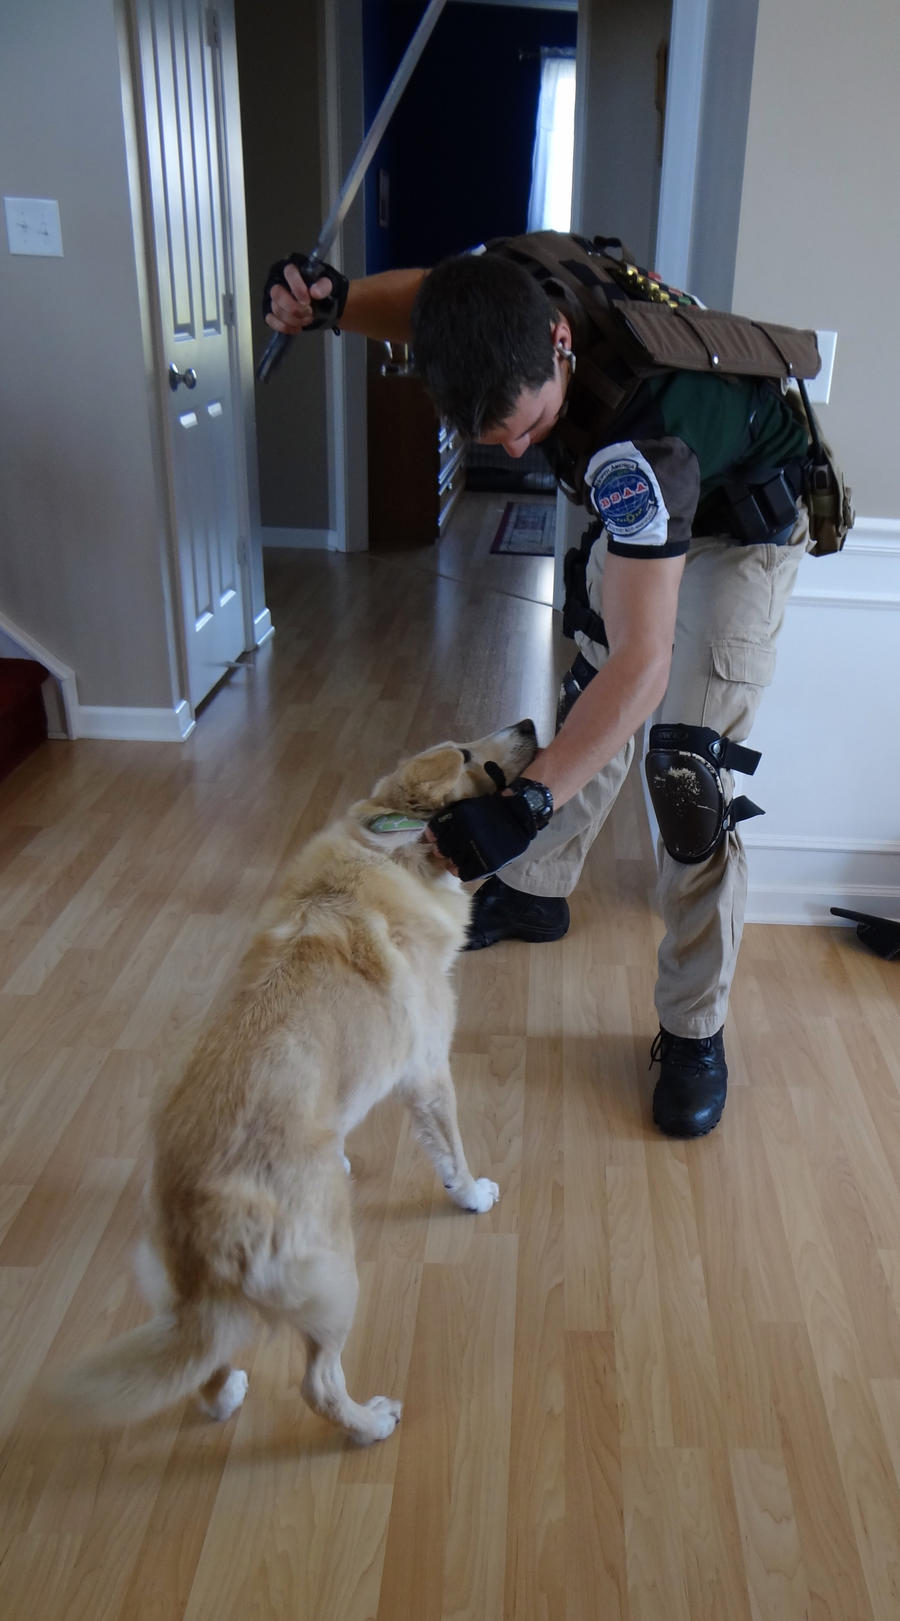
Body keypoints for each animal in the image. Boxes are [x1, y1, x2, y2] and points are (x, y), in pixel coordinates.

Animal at [57, 719, 535, 1445]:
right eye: (466, 754)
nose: (532, 725)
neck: (390, 853)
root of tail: (199, 1214)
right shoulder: (428, 1071)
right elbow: (452, 1148)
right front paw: (472, 1192)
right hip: (336, 1275)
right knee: (318, 1384)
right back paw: (370, 1422)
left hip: (182, 1293)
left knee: (207, 1366)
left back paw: (226, 1393)